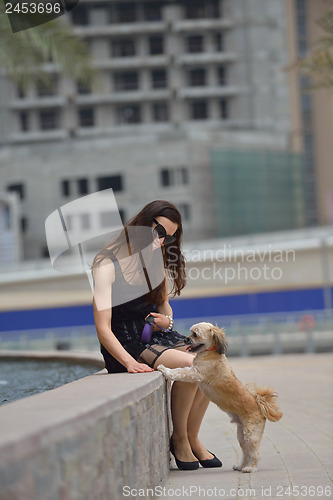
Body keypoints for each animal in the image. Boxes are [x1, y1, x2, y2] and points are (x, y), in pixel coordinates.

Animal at [157, 322, 282, 470]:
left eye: (195, 334)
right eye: (191, 332)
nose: (186, 339)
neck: (210, 352)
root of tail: (260, 406)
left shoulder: (195, 373)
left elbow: (179, 372)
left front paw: (165, 370)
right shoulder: (193, 370)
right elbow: (180, 370)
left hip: (251, 434)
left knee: (255, 453)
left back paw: (250, 468)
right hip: (242, 435)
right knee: (246, 452)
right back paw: (240, 466)